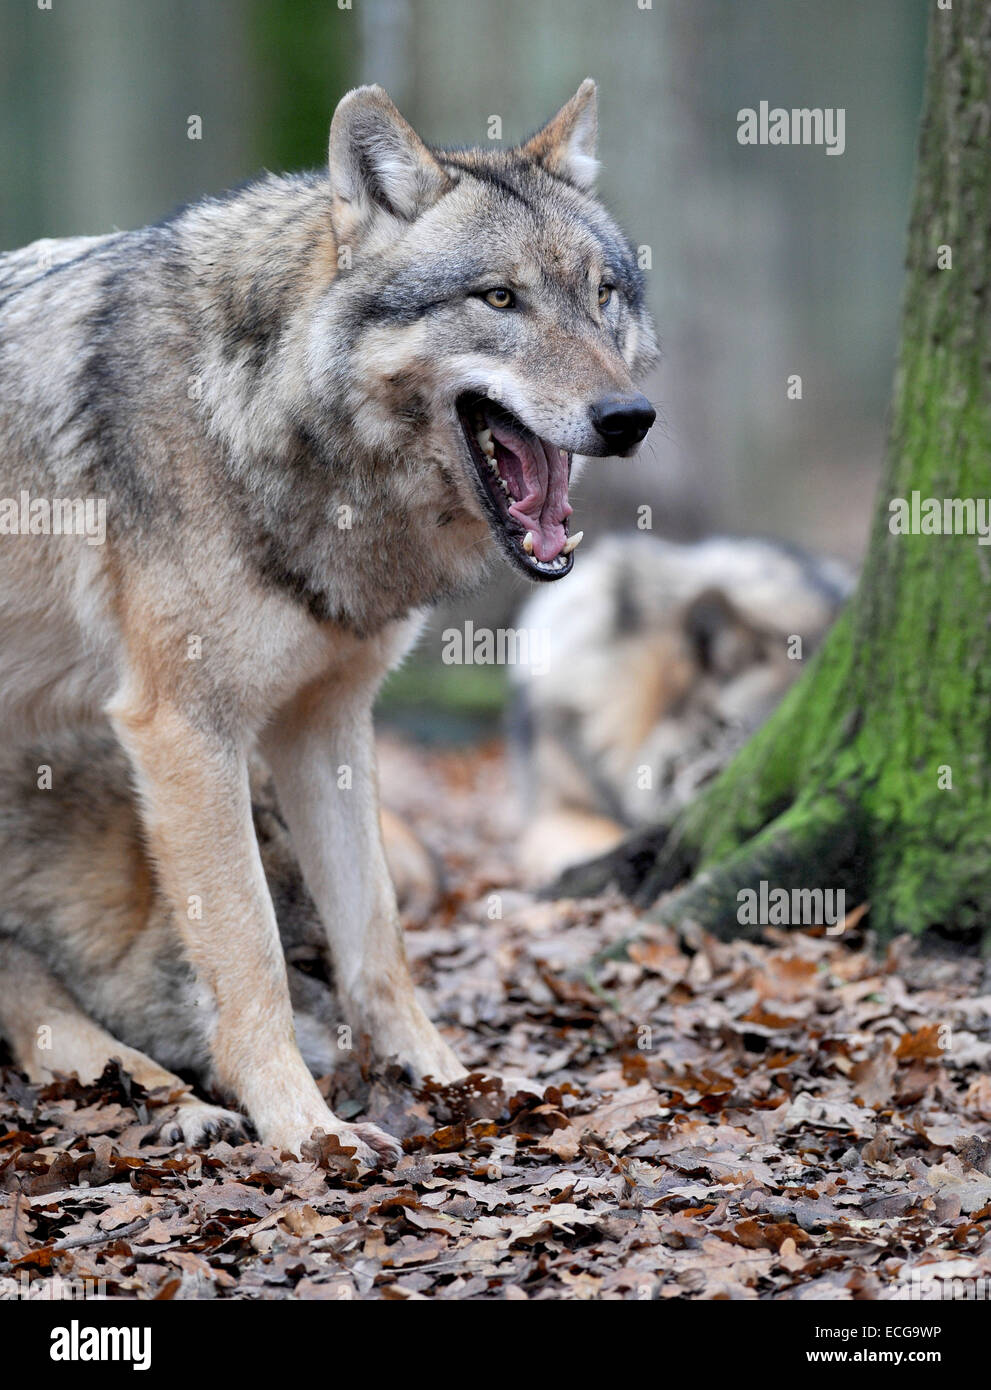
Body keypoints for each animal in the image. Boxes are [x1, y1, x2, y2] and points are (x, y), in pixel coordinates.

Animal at [0, 78, 656, 1162]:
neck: (254, 407)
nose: (629, 417)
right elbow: (250, 952)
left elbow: (377, 941)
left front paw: (452, 1081)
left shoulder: (327, 722)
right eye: (499, 299)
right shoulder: (183, 732)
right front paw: (304, 1127)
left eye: (602, 292)